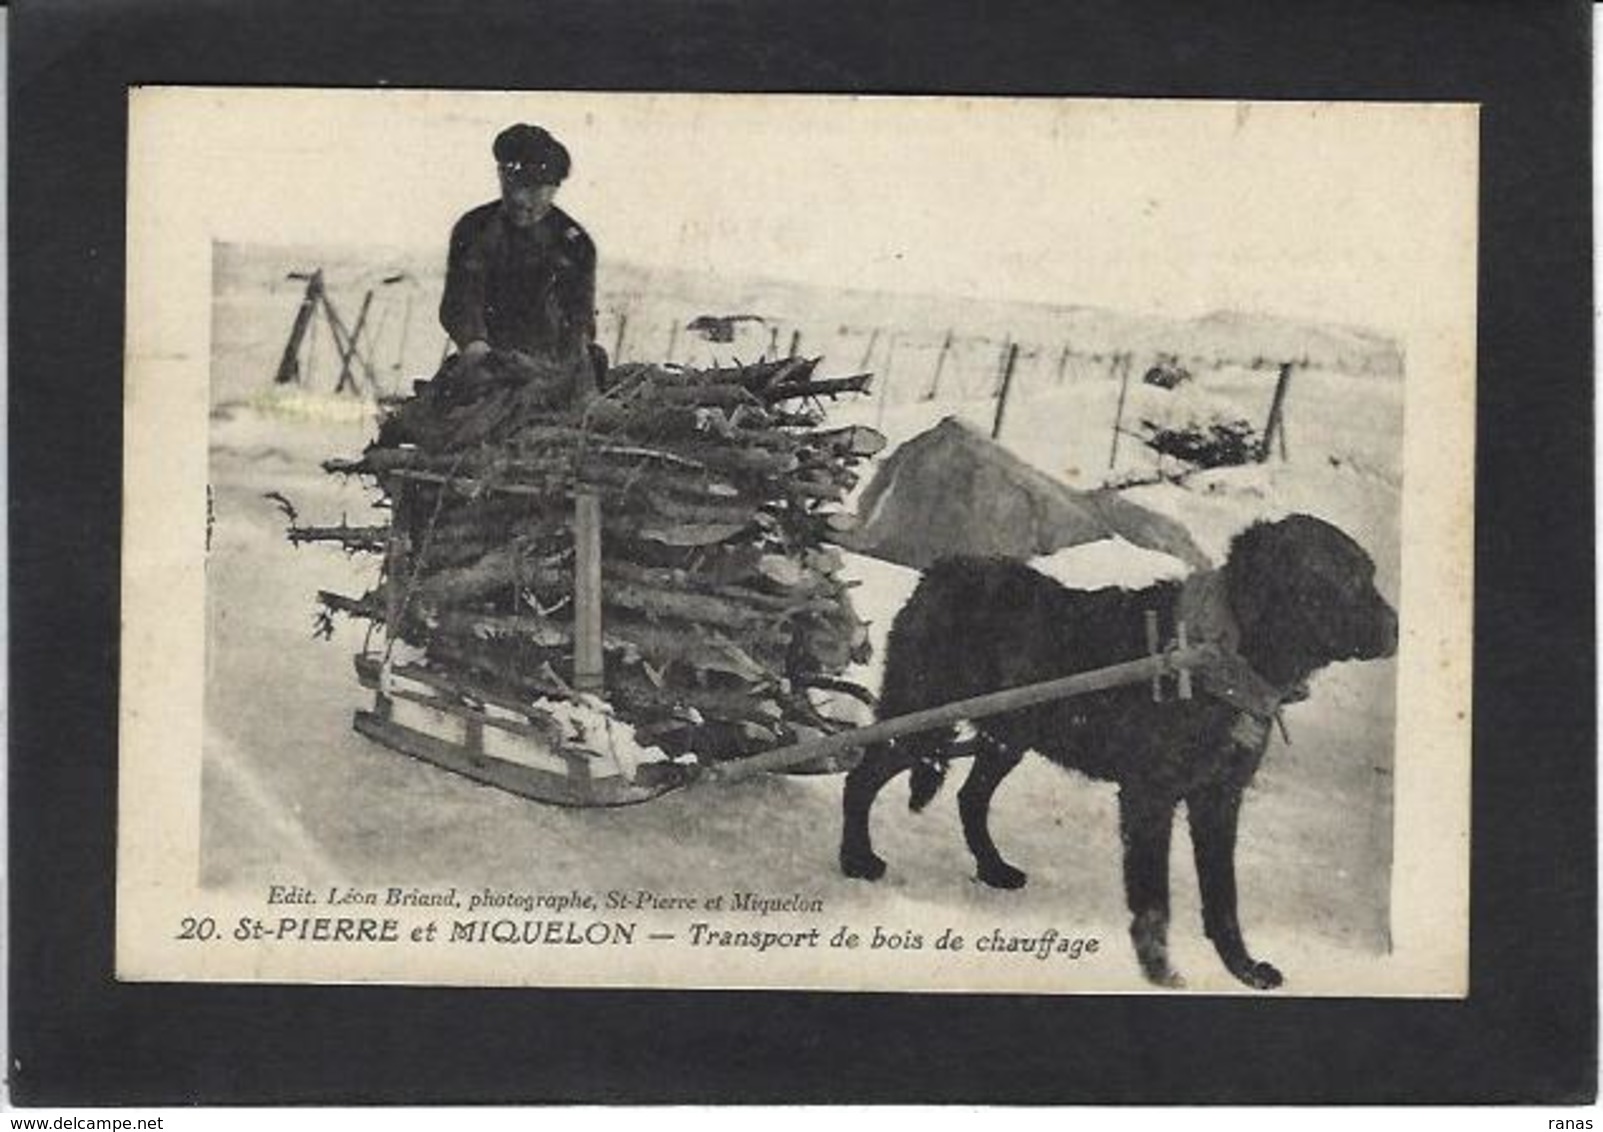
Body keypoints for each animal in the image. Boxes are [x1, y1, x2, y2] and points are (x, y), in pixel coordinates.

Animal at [846, 513, 1397, 987]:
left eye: (1370, 574)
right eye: (1346, 580)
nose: (1397, 629)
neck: (1220, 654)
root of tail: (942, 569)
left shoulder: (1220, 799)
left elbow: (1223, 897)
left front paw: (1241, 968)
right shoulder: (1149, 797)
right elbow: (1154, 899)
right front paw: (1160, 974)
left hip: (1008, 736)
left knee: (970, 797)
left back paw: (992, 868)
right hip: (919, 723)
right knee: (861, 776)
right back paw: (857, 860)